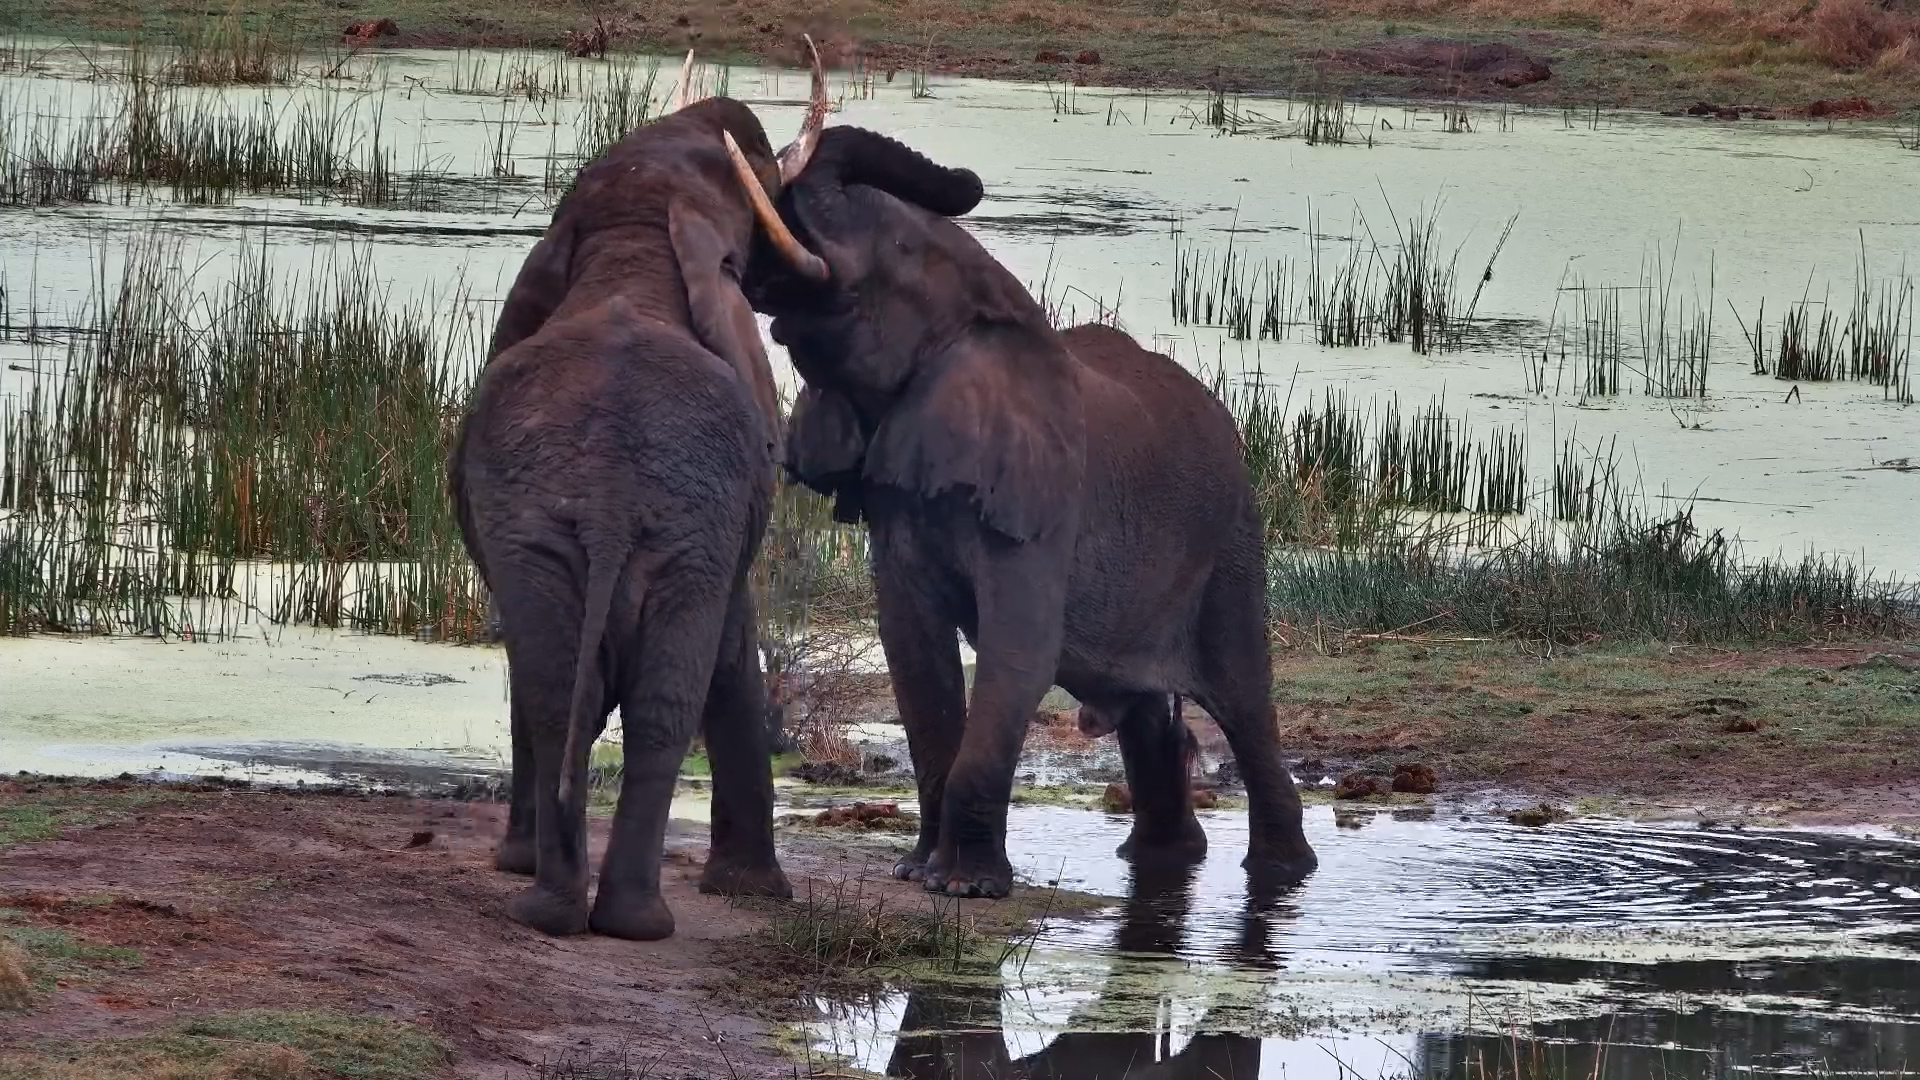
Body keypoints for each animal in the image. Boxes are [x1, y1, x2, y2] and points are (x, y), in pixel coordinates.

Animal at [446, 58, 834, 939]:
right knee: (643, 702)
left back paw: (568, 910)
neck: (633, 248)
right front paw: (753, 891)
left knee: (566, 693)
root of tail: (611, 500)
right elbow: (734, 645)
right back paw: (614, 915)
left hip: (560, 540)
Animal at [732, 124, 1318, 898]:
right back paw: (1164, 857)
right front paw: (917, 871)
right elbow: (912, 649)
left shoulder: (1045, 500)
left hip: (1231, 544)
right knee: (1150, 717)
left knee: (1246, 706)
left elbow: (1019, 649)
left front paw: (965, 887)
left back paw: (1284, 869)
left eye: (894, 256)